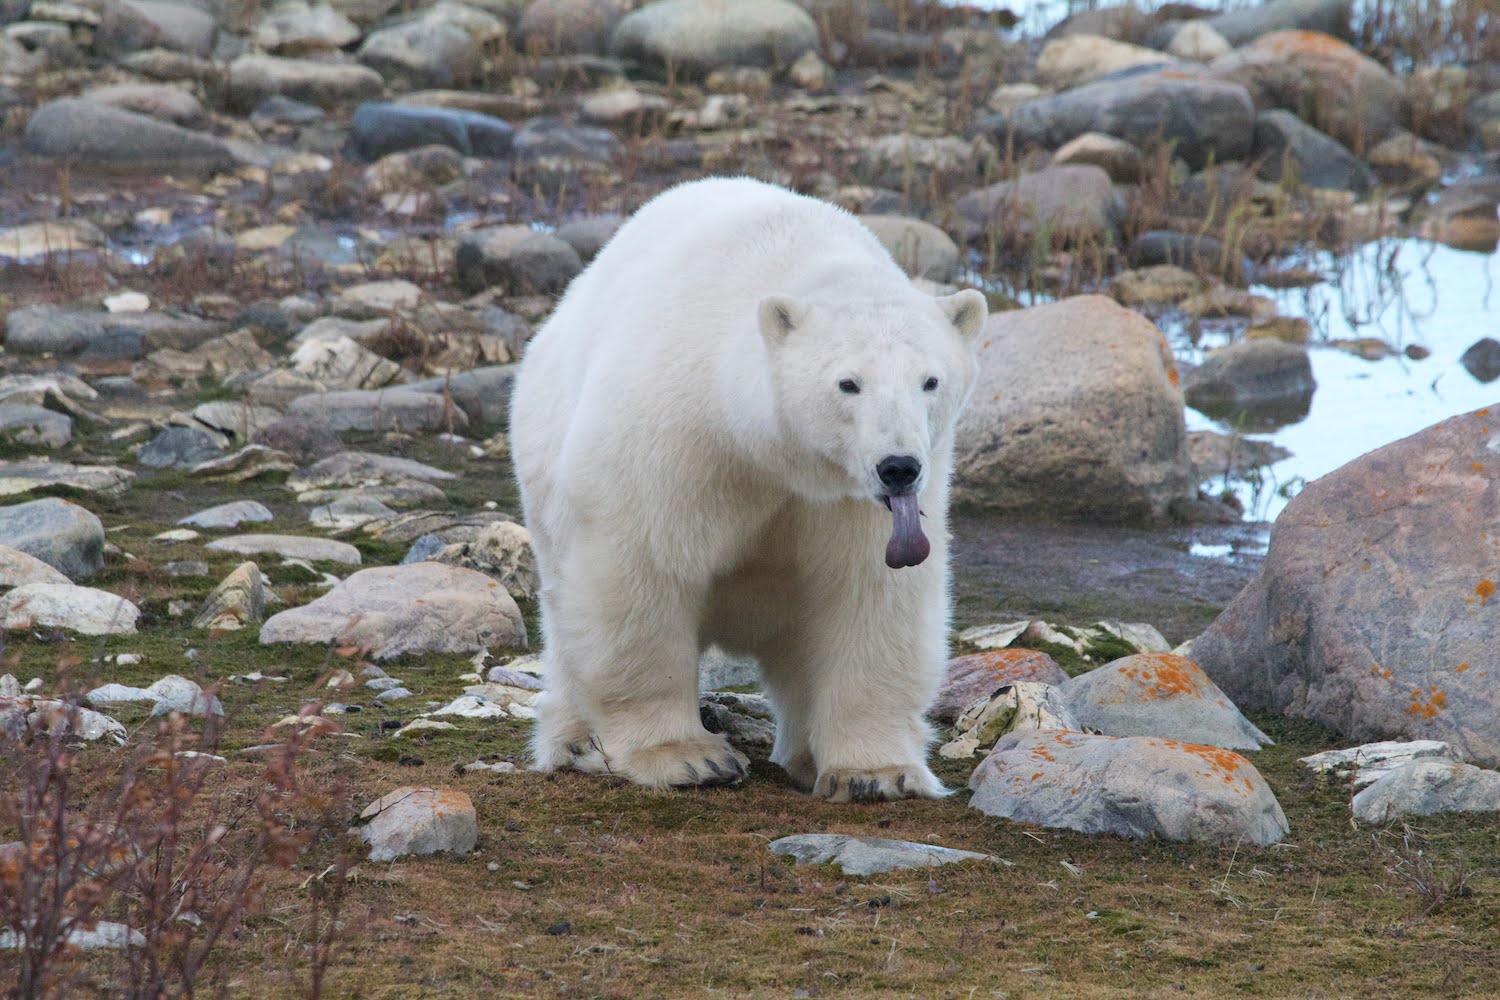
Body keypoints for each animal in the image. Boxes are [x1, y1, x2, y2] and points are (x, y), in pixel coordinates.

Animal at [508, 176, 986, 802]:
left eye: (930, 380)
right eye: (848, 383)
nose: (898, 467)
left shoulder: (850, 501)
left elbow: (869, 593)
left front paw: (875, 773)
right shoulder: (674, 435)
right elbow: (642, 568)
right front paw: (685, 757)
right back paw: (575, 743)